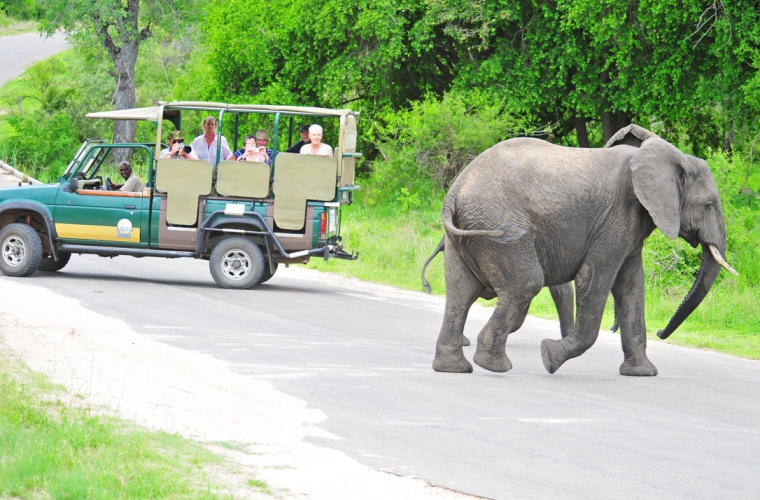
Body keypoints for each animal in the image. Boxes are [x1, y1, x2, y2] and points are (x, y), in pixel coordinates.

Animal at [428, 124, 736, 376]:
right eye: (708, 205)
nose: (662, 333)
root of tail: (454, 193)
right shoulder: (615, 219)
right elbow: (594, 278)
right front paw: (549, 357)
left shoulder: (630, 227)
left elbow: (631, 287)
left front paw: (642, 373)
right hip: (495, 227)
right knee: (525, 284)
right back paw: (493, 365)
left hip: (463, 234)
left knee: (460, 292)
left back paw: (454, 368)